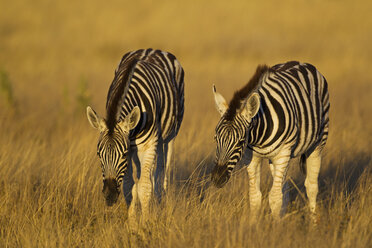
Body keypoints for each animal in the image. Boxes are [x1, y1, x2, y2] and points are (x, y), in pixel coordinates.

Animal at [87, 48, 186, 219]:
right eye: (99, 154)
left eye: (123, 154)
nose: (110, 196)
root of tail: (152, 49)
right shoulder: (132, 148)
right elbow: (129, 188)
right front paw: (133, 223)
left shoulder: (146, 145)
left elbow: (145, 187)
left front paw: (146, 223)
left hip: (169, 136)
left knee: (161, 174)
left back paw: (159, 202)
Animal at [211, 61, 330, 220]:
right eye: (215, 138)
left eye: (240, 141)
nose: (217, 179)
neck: (258, 137)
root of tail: (301, 63)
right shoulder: (250, 157)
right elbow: (255, 196)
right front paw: (255, 225)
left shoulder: (283, 153)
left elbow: (274, 198)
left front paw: (274, 227)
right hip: (275, 159)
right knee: (284, 187)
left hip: (317, 144)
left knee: (311, 186)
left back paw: (313, 222)